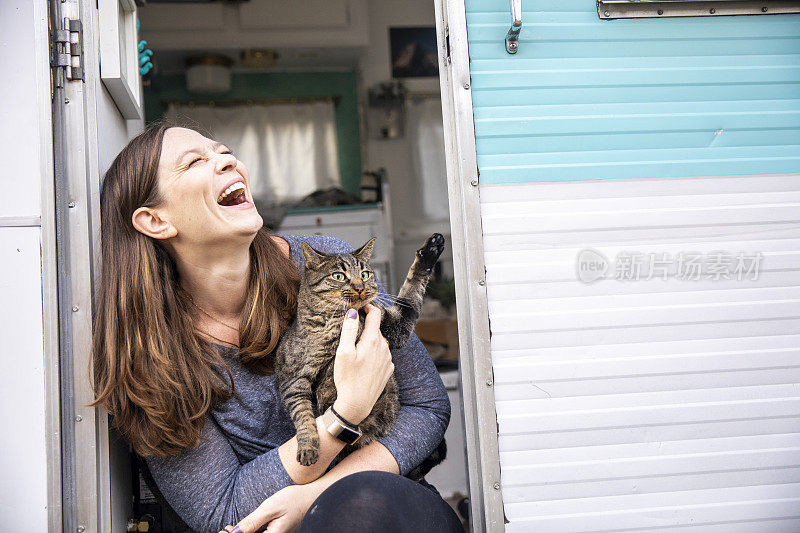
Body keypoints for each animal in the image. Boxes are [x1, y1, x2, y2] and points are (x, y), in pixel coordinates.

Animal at [274, 233, 446, 478]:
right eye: (338, 276)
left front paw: (431, 248)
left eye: (365, 274)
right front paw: (308, 447)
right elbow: (303, 414)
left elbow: (410, 296)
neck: (337, 321)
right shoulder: (292, 380)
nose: (359, 286)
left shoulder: (394, 326)